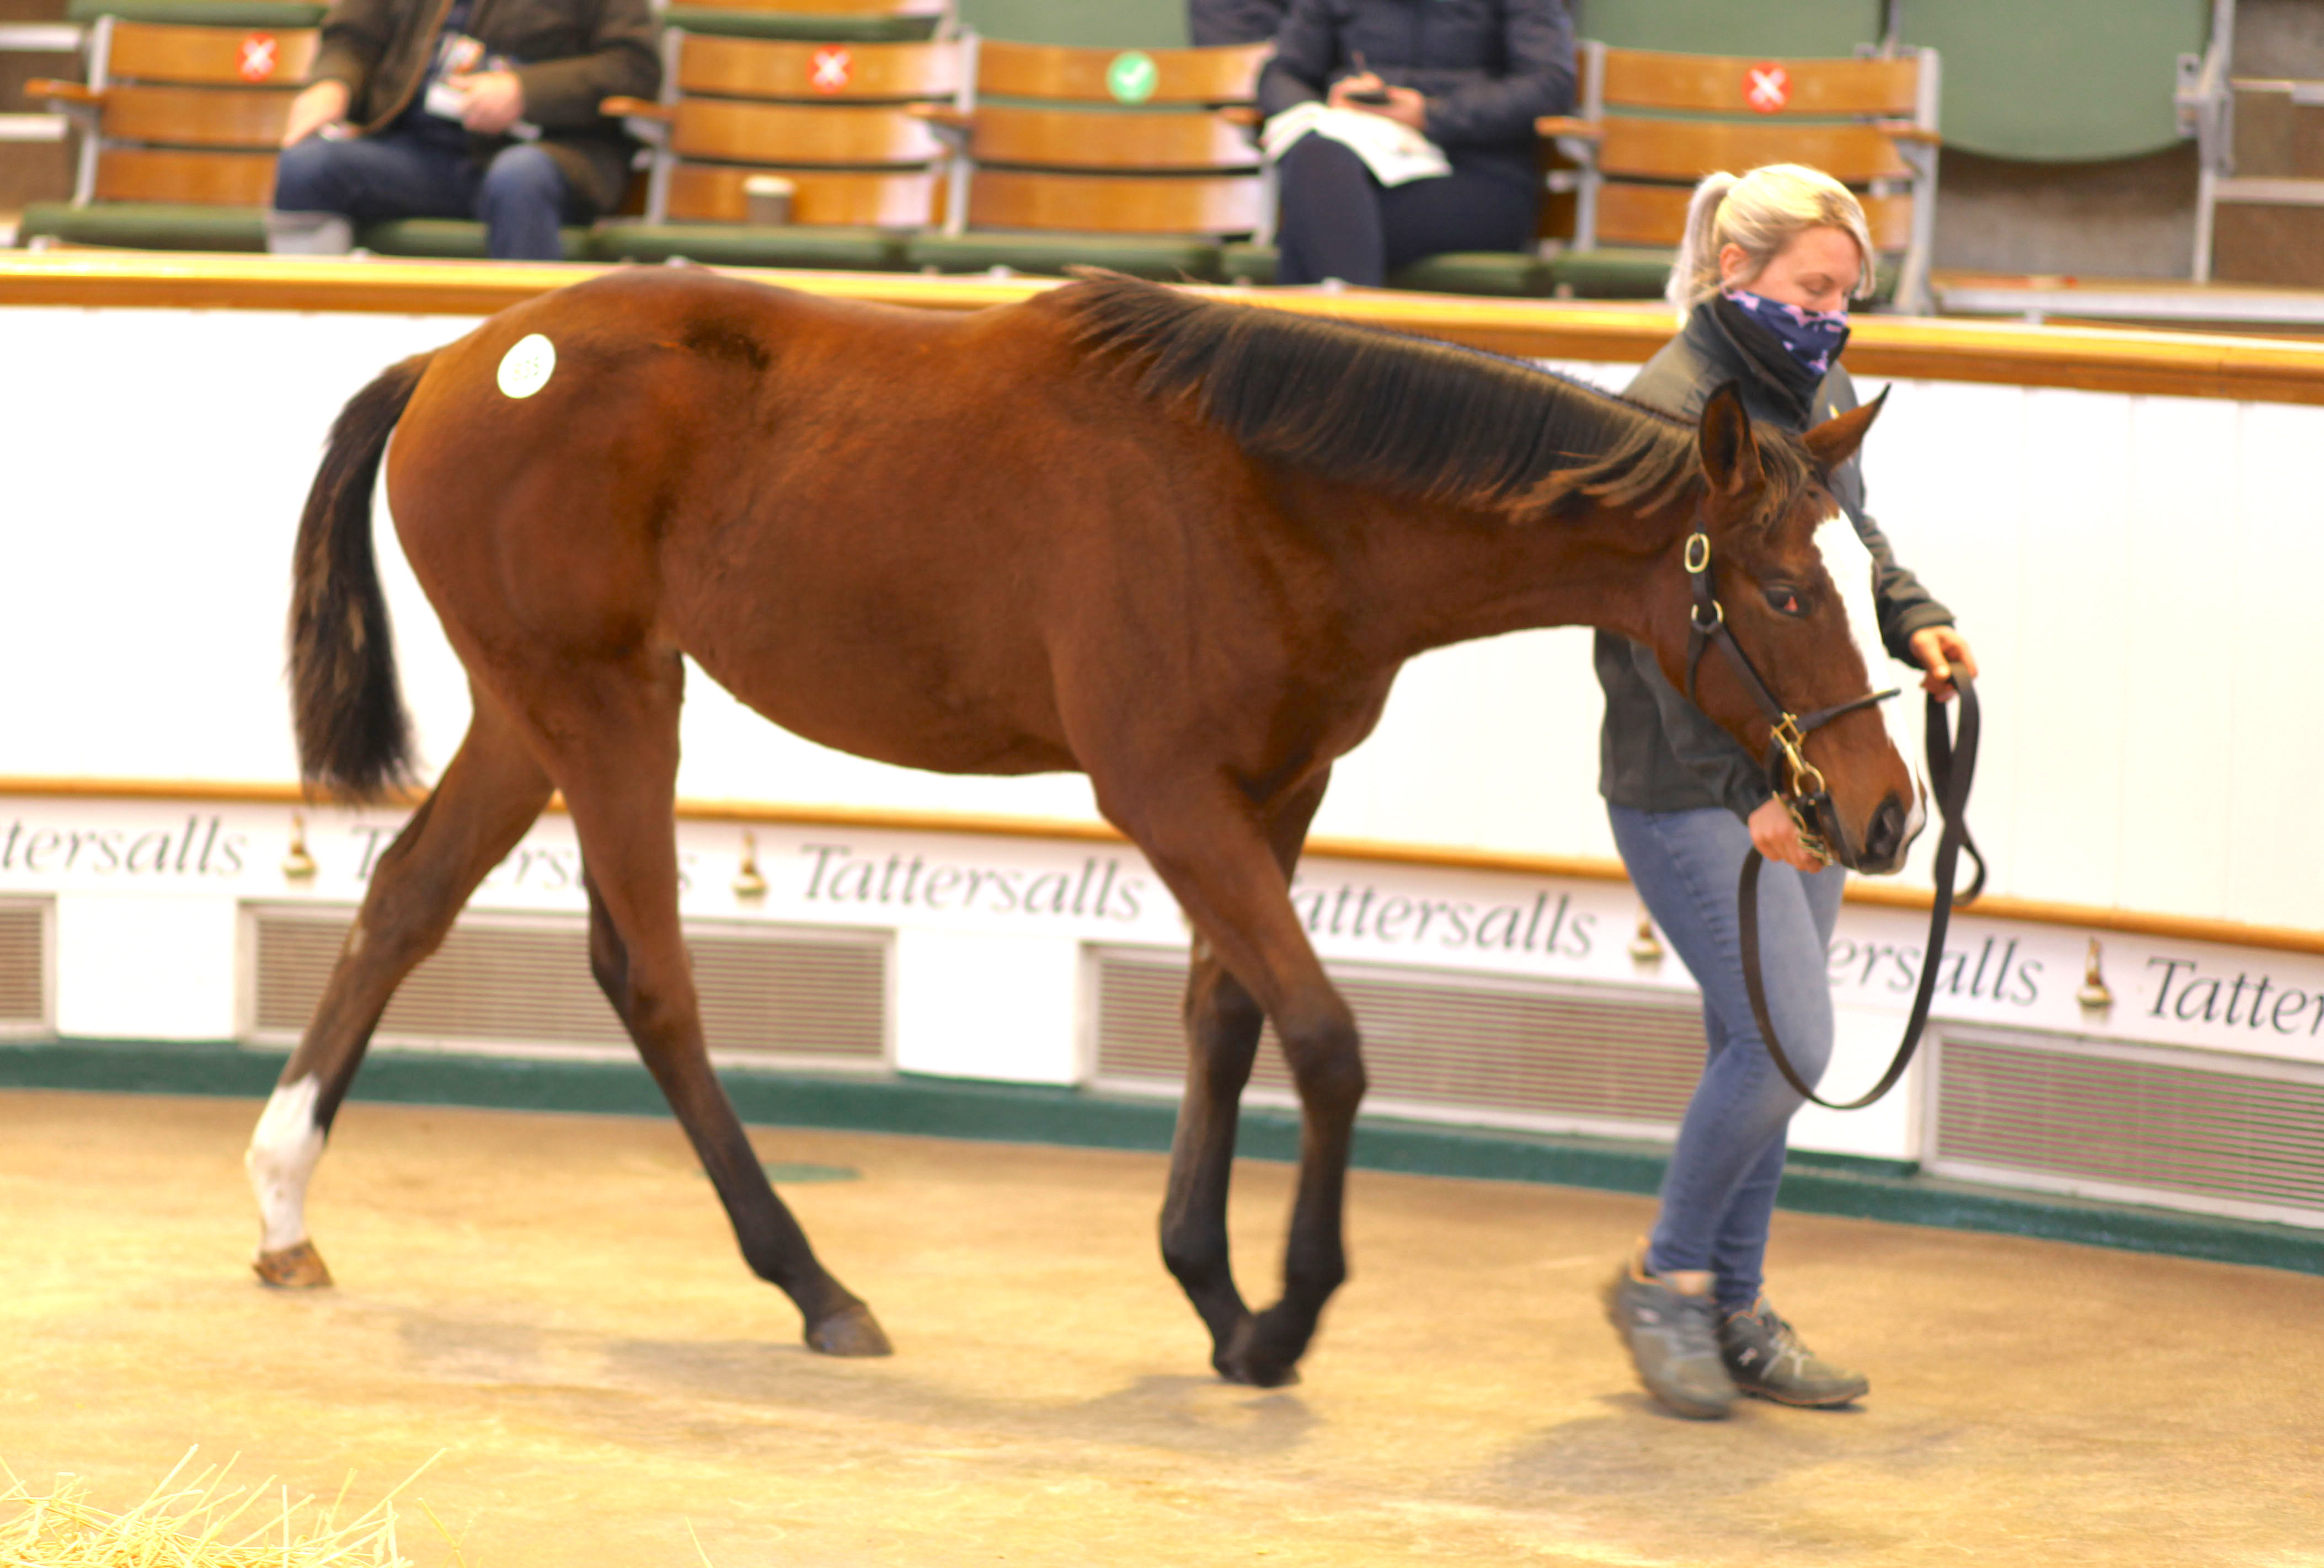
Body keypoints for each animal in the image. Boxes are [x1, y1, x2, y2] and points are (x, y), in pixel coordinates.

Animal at [264, 267, 1915, 1384]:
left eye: (1855, 575)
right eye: (1784, 591)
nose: (1885, 808)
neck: (1270, 492)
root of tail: (461, 358)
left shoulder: (1273, 792)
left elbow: (1223, 1020)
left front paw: (1214, 1293)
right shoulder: (1166, 792)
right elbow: (1323, 1036)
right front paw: (1284, 1315)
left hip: (530, 714)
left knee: (406, 900)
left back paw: (283, 1207)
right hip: (603, 707)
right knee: (648, 978)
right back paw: (814, 1283)